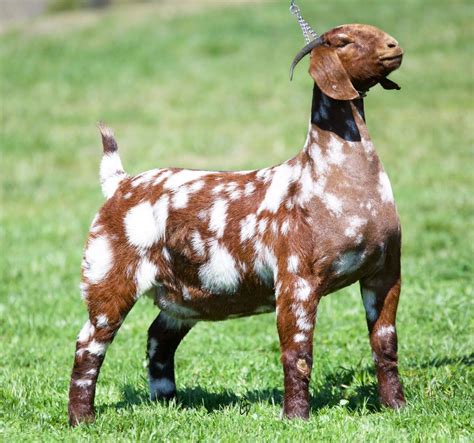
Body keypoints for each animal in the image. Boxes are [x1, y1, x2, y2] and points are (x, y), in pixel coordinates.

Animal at [68, 24, 406, 426]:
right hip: (107, 279)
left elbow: (385, 344)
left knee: (158, 339)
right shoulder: (296, 280)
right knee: (89, 344)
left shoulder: (385, 272)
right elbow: (298, 353)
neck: (329, 177)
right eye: (344, 41)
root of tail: (119, 184)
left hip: (183, 299)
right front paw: (296, 418)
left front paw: (398, 407)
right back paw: (82, 420)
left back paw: (167, 403)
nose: (394, 46)